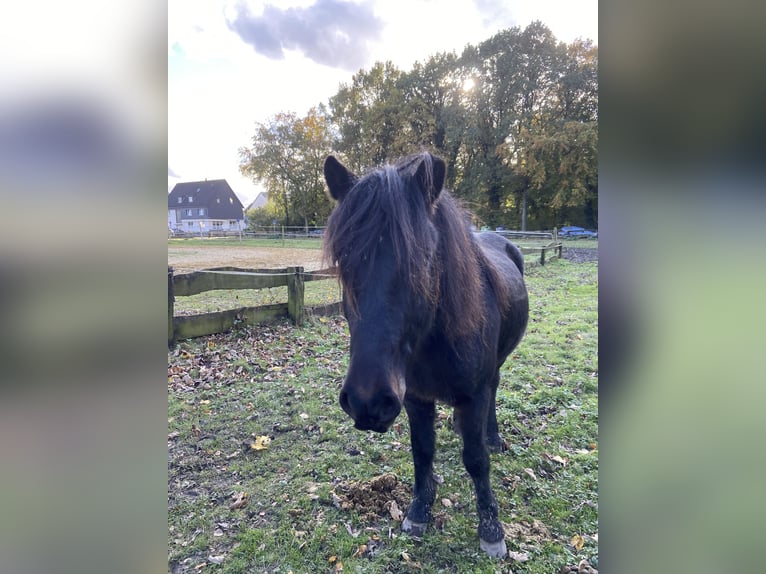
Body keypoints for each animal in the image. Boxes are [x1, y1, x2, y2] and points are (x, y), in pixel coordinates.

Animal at [322, 152, 528, 560]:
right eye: (343, 261)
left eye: (421, 261)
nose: (366, 401)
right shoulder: (415, 398)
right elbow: (422, 452)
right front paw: (419, 511)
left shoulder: (473, 394)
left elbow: (476, 461)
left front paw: (491, 530)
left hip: (491, 372)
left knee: (494, 393)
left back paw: (492, 435)